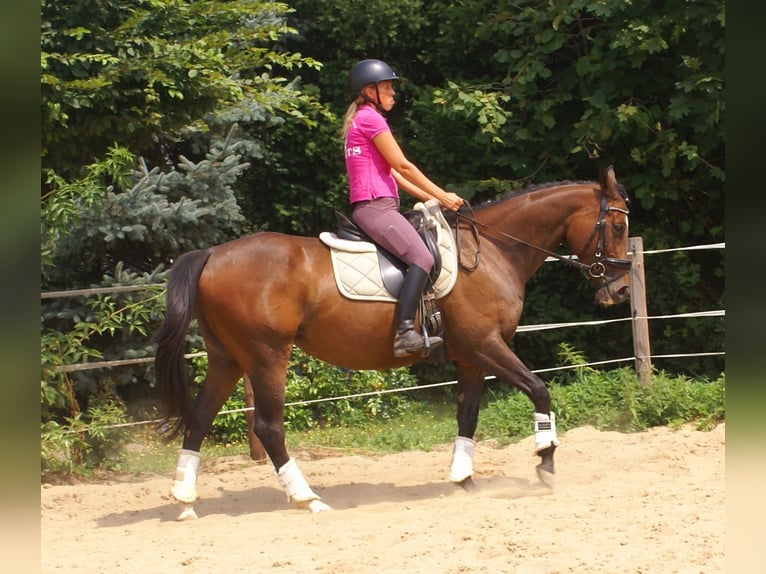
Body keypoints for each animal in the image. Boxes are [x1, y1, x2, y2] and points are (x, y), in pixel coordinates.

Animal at [154, 165, 631, 519]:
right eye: (618, 224)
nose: (622, 290)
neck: (493, 251)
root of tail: (213, 254)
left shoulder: (470, 358)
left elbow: (468, 415)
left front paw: (463, 479)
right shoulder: (486, 345)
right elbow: (538, 388)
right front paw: (546, 459)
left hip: (227, 358)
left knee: (199, 418)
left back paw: (184, 500)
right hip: (267, 356)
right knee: (268, 427)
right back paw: (307, 498)